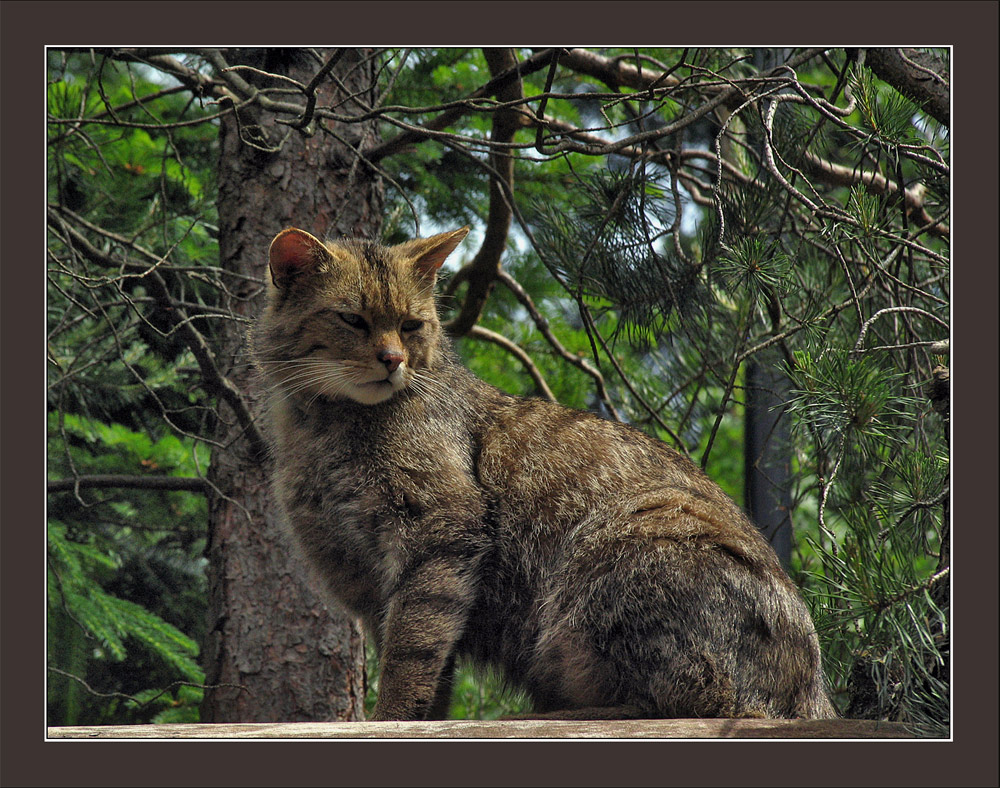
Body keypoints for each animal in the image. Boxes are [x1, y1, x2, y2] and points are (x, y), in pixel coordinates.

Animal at [252, 223, 836, 720]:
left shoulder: (439, 535)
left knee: (697, 696)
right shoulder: (370, 585)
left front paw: (391, 719)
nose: (394, 359)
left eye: (411, 325)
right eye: (353, 320)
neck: (326, 430)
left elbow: (412, 651)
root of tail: (815, 689)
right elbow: (429, 665)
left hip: (634, 542)